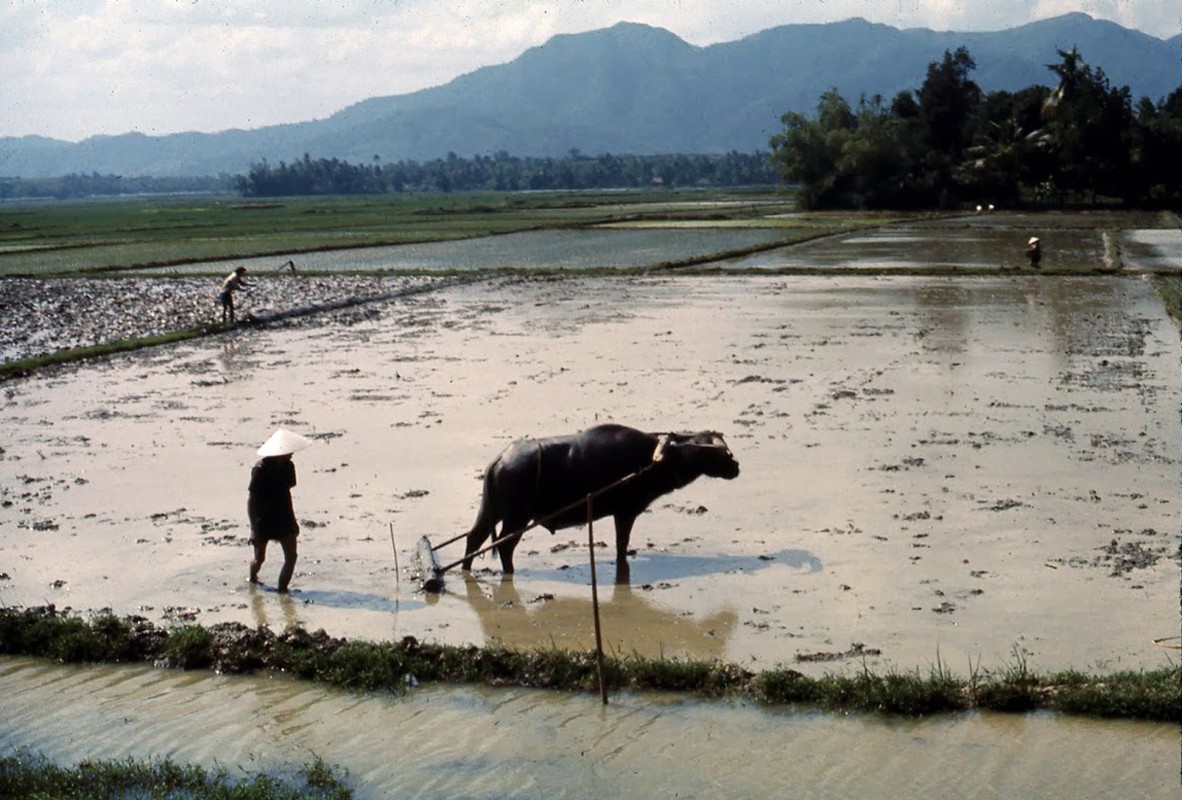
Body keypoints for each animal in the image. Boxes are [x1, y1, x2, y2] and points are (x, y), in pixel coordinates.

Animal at [458, 425, 737, 574]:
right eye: (716, 451)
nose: (736, 466)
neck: (653, 459)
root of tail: (499, 461)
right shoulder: (625, 512)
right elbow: (621, 545)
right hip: (516, 517)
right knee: (505, 545)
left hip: (491, 510)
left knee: (474, 537)